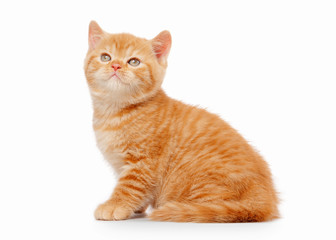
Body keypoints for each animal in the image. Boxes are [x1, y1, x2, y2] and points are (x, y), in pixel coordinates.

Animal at [84, 21, 278, 223]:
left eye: (134, 62)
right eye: (105, 57)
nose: (115, 65)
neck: (114, 112)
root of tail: (266, 198)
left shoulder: (144, 162)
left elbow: (130, 186)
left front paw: (115, 205)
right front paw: (136, 207)